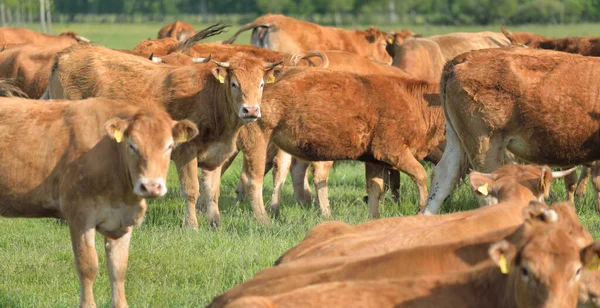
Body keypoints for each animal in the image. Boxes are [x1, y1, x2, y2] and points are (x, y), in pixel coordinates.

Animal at [44, 42, 284, 229]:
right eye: (234, 84)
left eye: (261, 84)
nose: (250, 110)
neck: (210, 98)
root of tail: (66, 55)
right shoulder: (186, 152)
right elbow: (192, 190)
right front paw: (191, 225)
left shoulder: (215, 155)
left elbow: (212, 191)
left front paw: (215, 222)